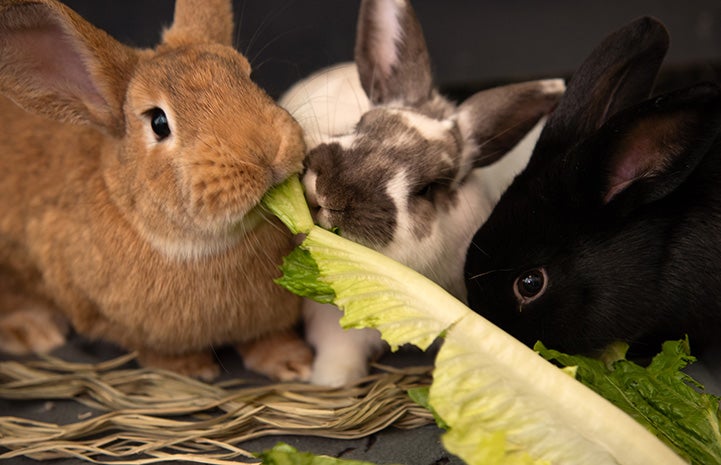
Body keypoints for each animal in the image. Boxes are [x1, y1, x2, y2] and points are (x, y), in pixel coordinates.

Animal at [0, 0, 312, 380]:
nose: (266, 150)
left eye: (248, 77)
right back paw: (31, 330)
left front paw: (293, 362)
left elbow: (268, 337)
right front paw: (190, 369)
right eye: (159, 123)